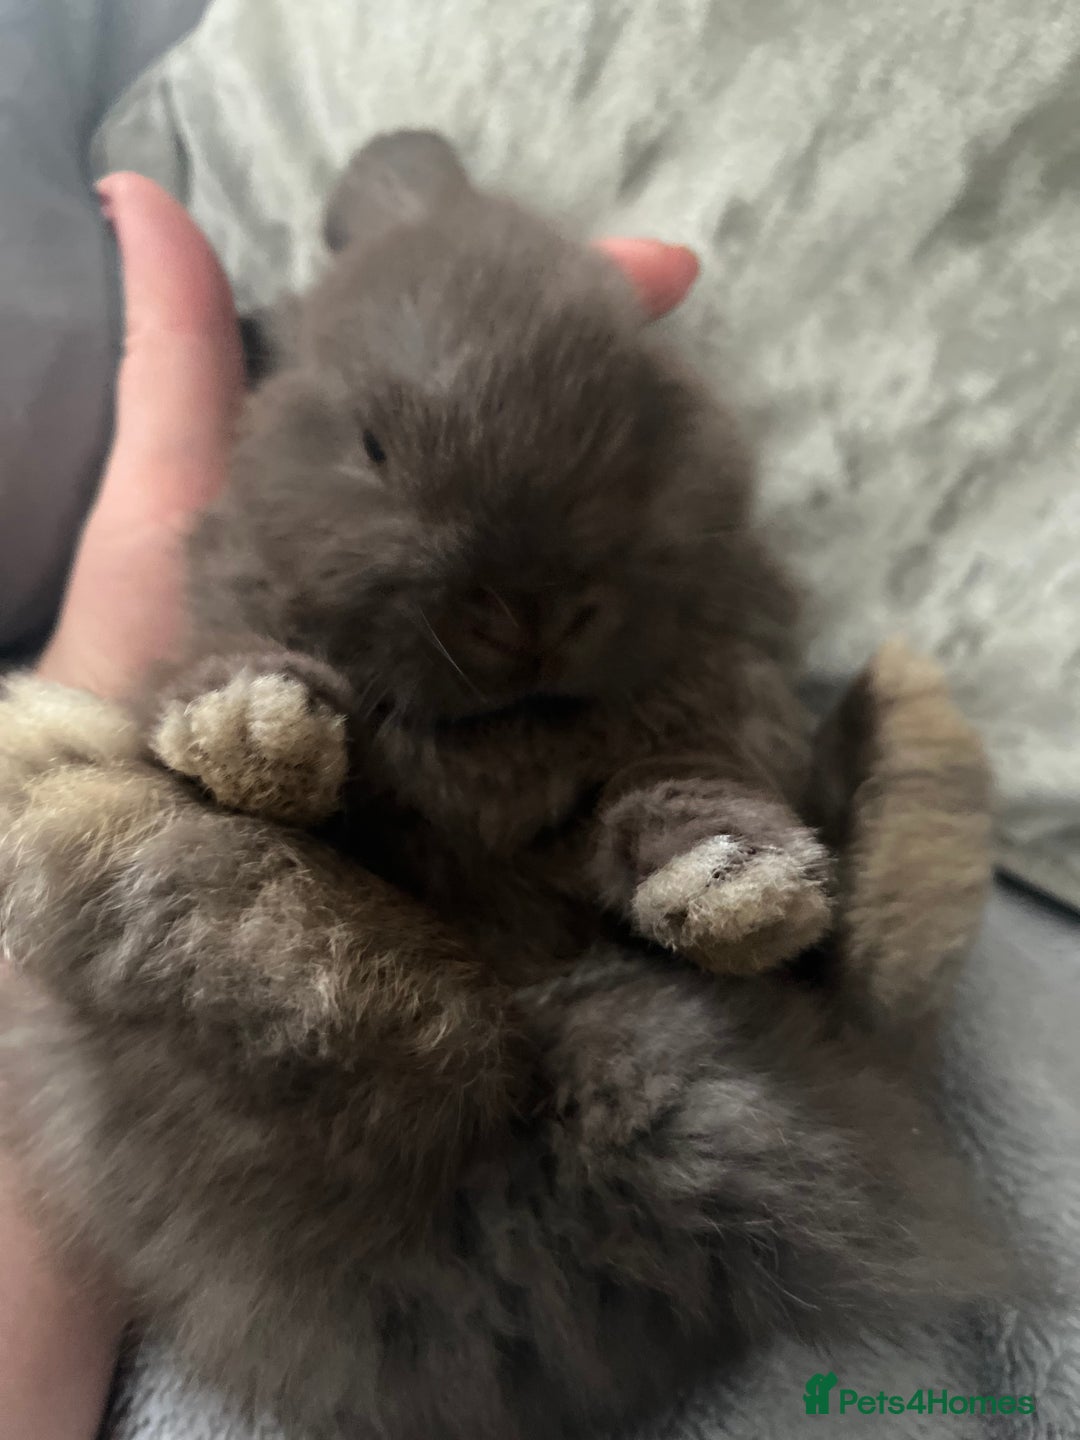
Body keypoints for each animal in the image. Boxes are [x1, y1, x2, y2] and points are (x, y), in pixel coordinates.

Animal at [146, 129, 833, 984]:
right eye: (373, 447)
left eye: (646, 407)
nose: (531, 614)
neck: (505, 728)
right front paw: (249, 728)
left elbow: (676, 781)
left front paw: (737, 889)